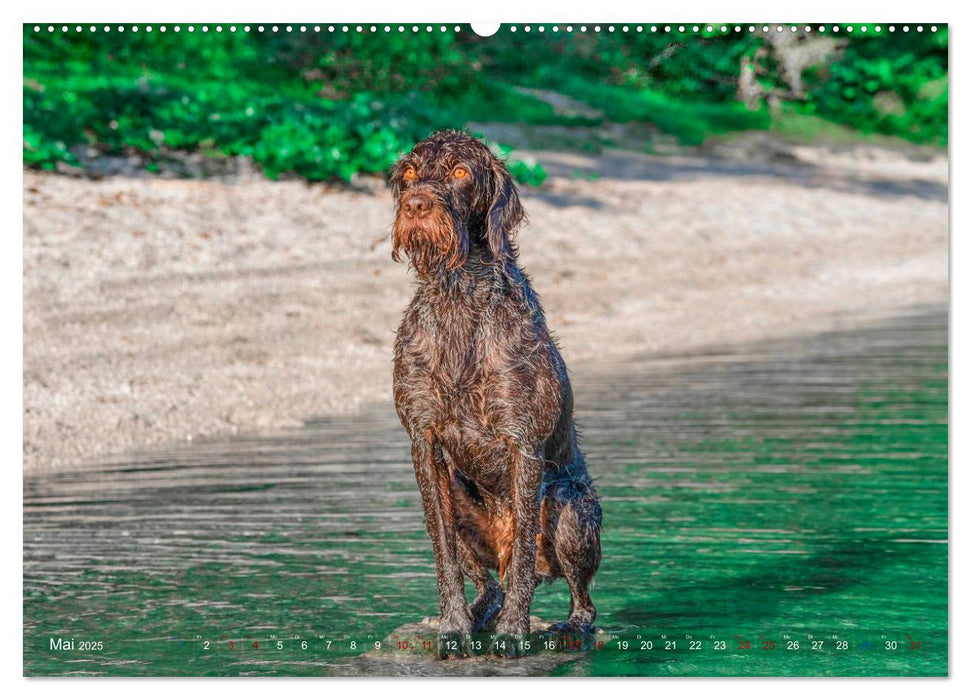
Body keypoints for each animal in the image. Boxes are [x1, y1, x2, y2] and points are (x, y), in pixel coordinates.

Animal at [388, 130, 600, 656]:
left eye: (462, 172)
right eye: (410, 173)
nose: (416, 204)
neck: (459, 295)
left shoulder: (524, 444)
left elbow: (523, 547)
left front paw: (514, 631)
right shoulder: (423, 443)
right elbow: (443, 553)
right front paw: (454, 625)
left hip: (572, 507)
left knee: (578, 598)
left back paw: (565, 625)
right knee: (490, 583)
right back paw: (480, 612)